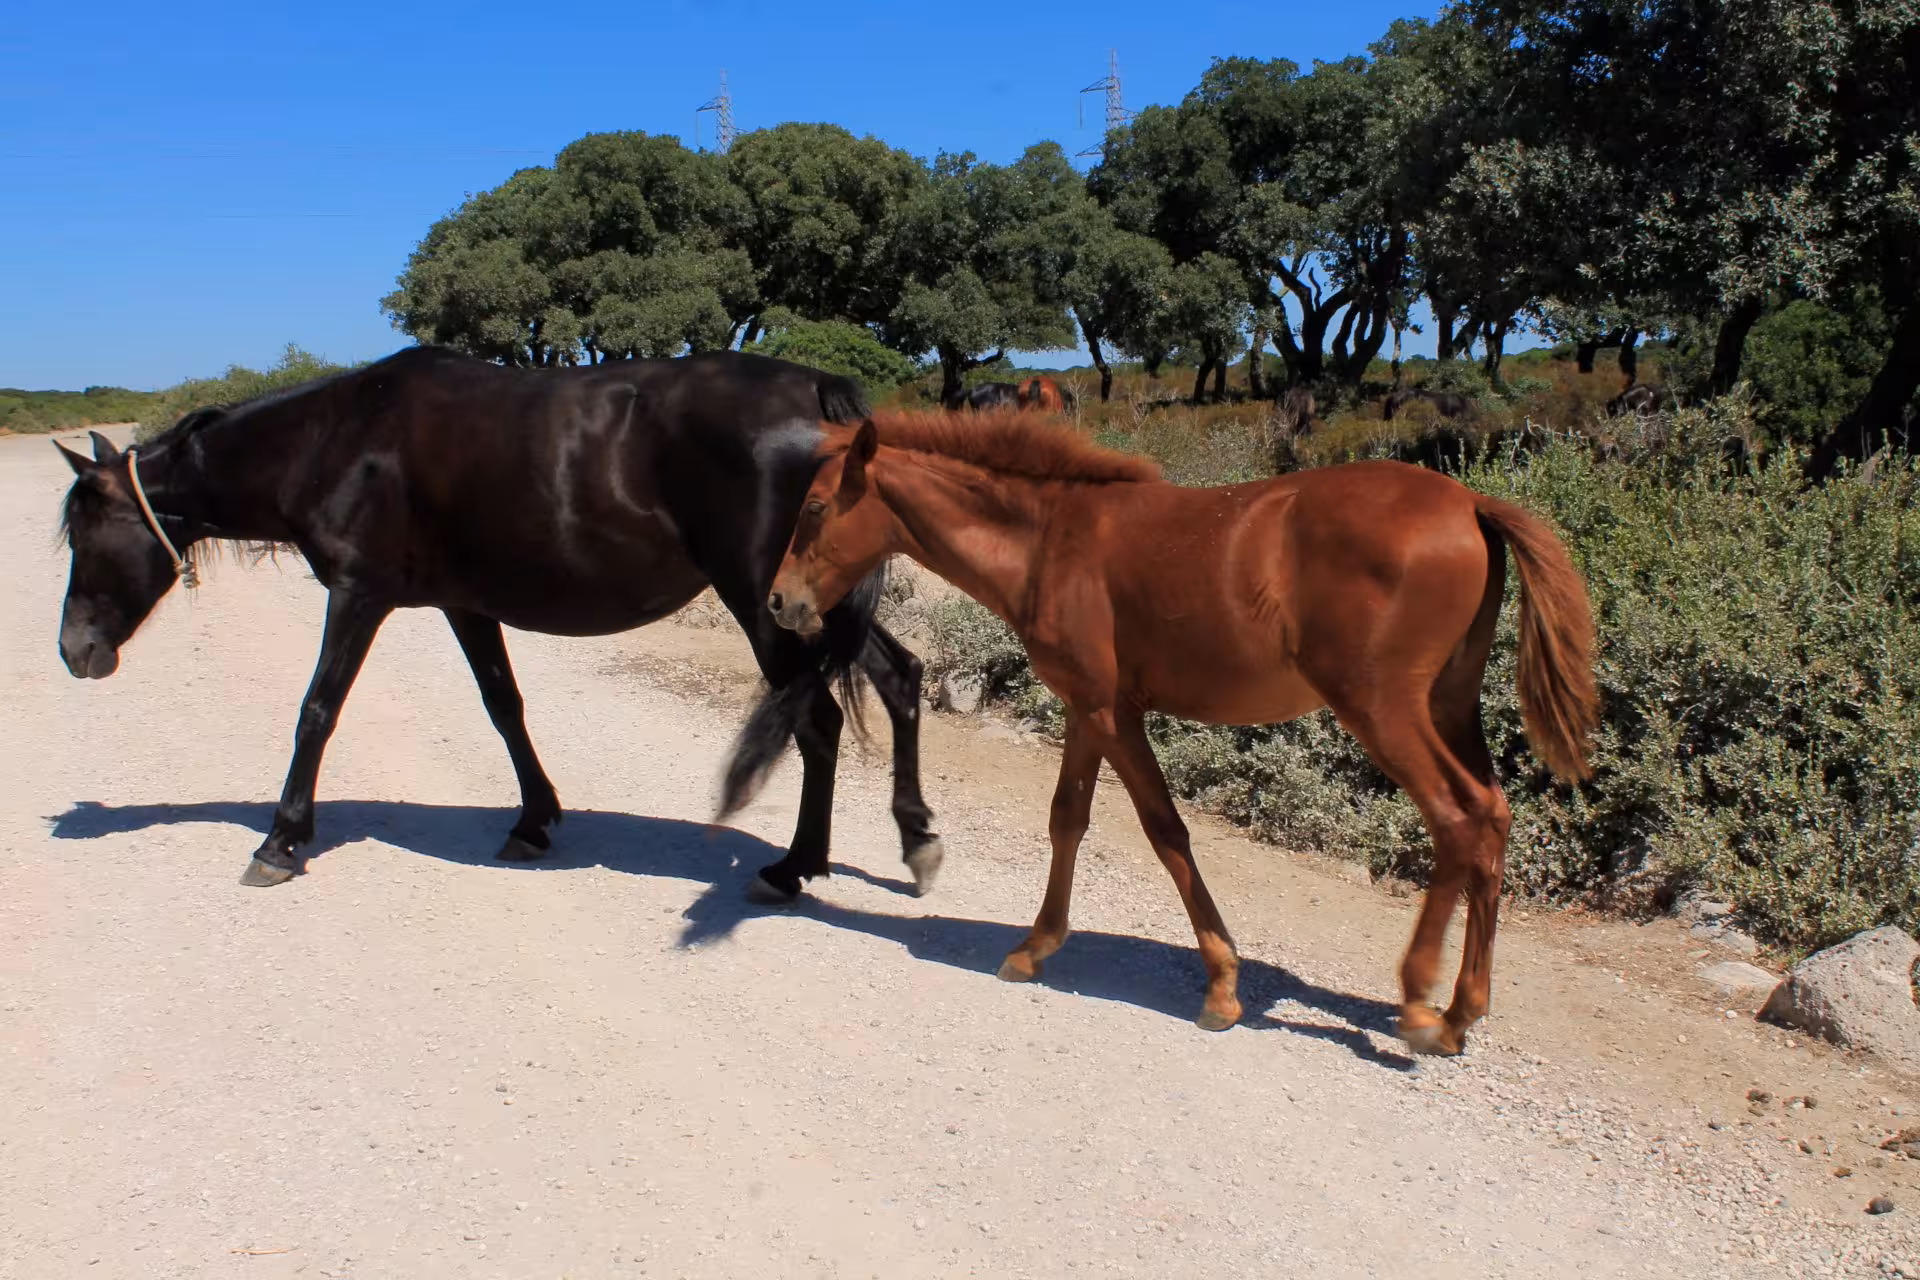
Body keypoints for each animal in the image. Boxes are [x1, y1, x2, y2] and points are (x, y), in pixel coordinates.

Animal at [54, 346, 944, 902]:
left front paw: (280, 841)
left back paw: (794, 869)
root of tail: (815, 395)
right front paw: (534, 821)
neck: (336, 439)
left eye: (86, 534)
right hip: (809, 604)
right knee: (898, 679)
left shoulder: (358, 595)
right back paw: (913, 842)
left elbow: (318, 711)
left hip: (765, 604)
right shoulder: (465, 604)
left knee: (818, 719)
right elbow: (503, 707)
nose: (74, 651)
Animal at [766, 410, 1598, 1056]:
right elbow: (1067, 820)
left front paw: (1223, 988)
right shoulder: (1087, 708)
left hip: (1383, 711)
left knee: (1460, 821)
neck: (1048, 538)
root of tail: (1471, 503)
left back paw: (1422, 1003)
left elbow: (1165, 830)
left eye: (815, 507)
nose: (779, 602)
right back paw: (1461, 1012)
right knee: (1493, 818)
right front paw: (1035, 947)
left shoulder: (1114, 713)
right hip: (1449, 707)